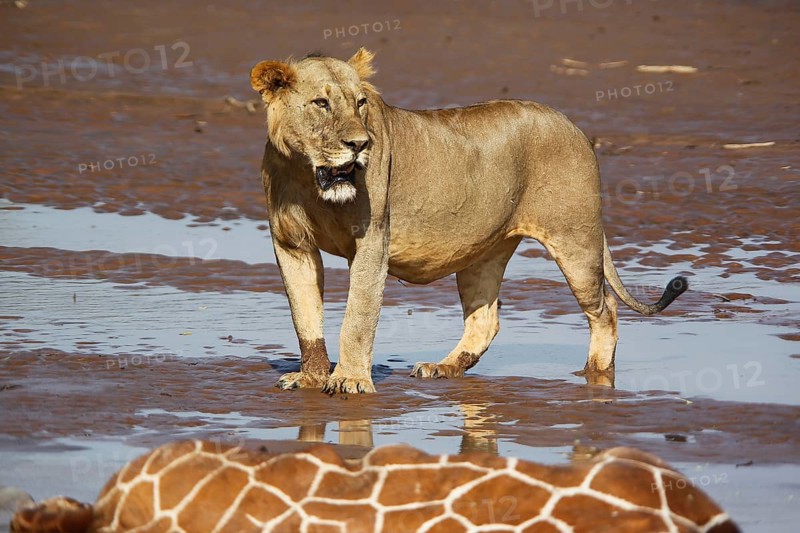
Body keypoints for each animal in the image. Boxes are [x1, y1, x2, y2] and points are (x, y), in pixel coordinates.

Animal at [250, 48, 687, 394]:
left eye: (360, 103)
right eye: (321, 104)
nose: (360, 144)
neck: (307, 176)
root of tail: (574, 126)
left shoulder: (373, 243)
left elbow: (357, 316)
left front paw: (350, 379)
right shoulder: (291, 245)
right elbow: (305, 316)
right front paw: (310, 377)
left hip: (575, 240)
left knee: (605, 308)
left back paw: (595, 373)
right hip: (483, 254)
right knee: (485, 319)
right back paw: (443, 367)